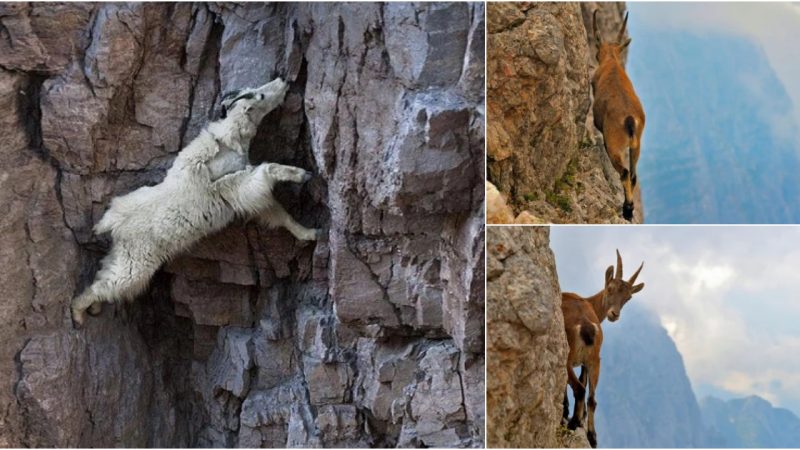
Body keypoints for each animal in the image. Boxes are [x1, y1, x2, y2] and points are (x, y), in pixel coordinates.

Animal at [69, 76, 318, 324]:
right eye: (261, 96)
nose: (283, 80)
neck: (230, 141)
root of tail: (113, 224)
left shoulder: (247, 194)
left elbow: (277, 213)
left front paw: (310, 233)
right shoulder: (236, 185)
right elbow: (268, 170)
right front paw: (301, 174)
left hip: (123, 254)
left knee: (105, 273)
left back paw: (93, 309)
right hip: (137, 262)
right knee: (111, 284)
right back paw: (78, 313)